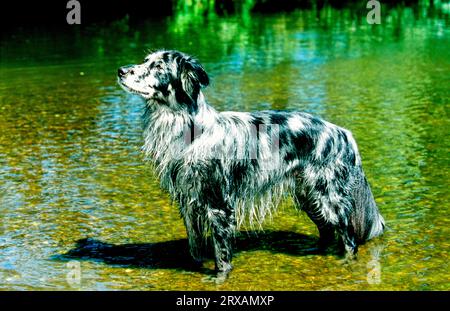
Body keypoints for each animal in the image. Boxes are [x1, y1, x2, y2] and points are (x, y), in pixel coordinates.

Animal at [118, 49, 384, 280]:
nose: (121, 70)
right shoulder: (189, 203)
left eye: (158, 66)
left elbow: (222, 254)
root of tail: (343, 133)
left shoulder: (219, 206)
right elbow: (195, 247)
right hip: (309, 196)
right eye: (145, 60)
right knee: (327, 232)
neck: (189, 130)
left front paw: (219, 278)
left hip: (328, 197)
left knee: (349, 240)